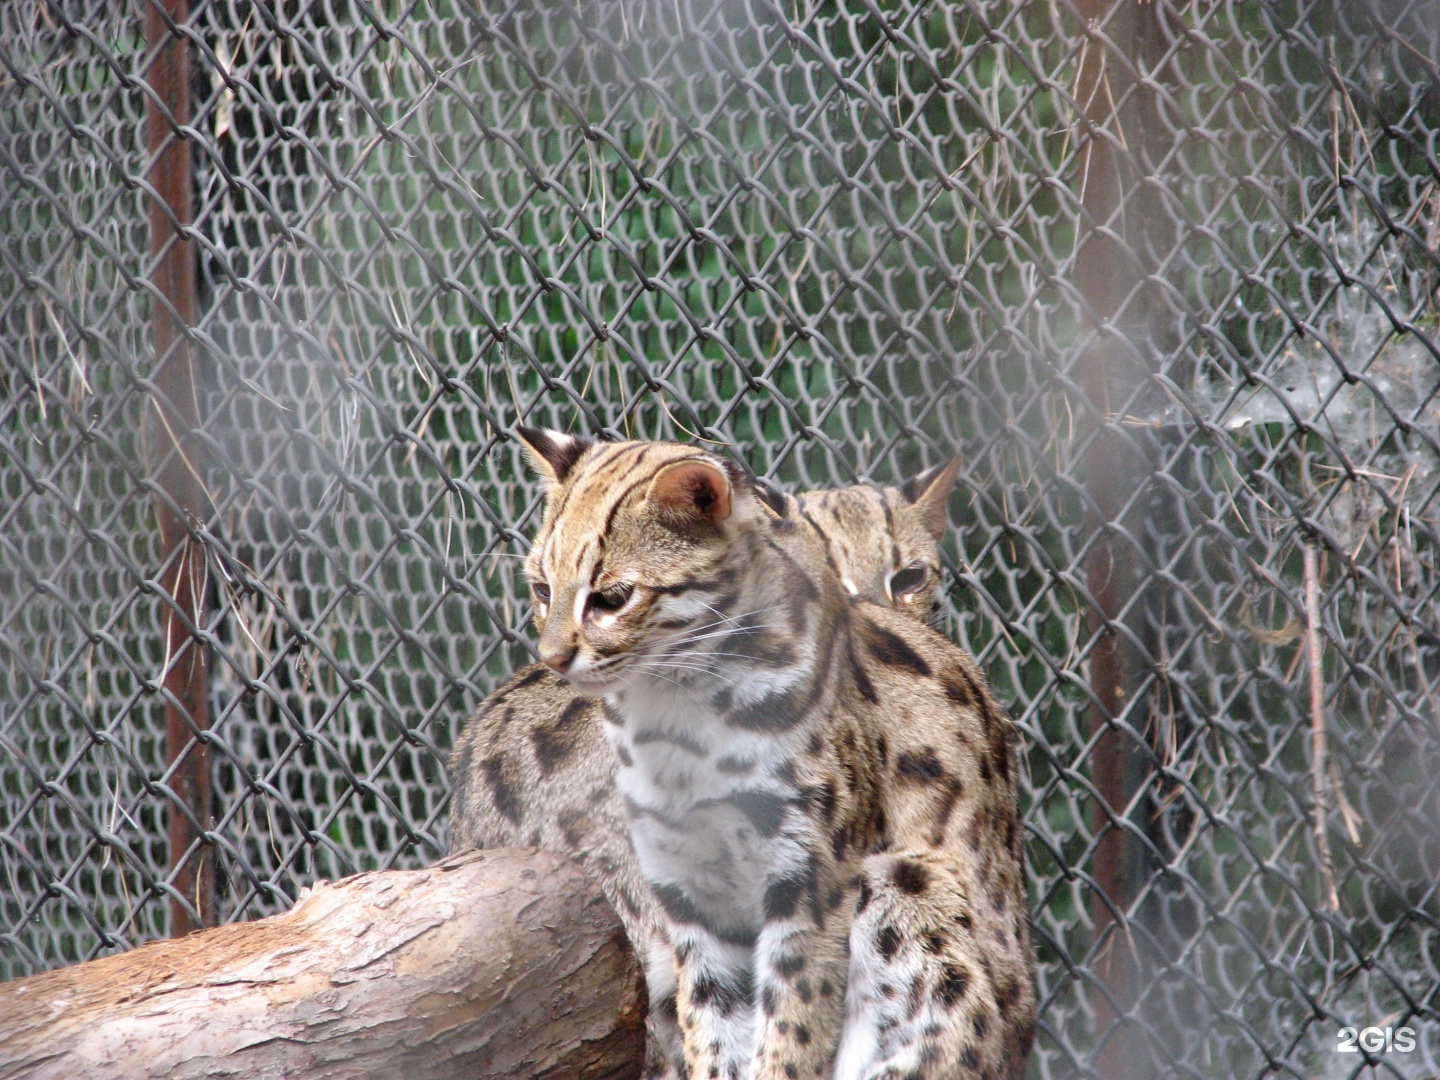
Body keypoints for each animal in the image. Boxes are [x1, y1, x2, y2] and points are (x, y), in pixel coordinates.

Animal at [512, 432, 1031, 1080]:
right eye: (541, 589)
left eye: (612, 598)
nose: (551, 657)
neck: (675, 721)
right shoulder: (688, 894)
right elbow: (710, 1026)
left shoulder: (812, 884)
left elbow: (792, 1028)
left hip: (905, 881)